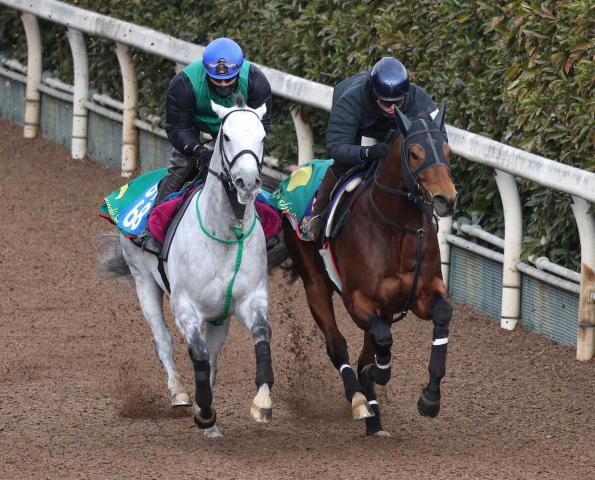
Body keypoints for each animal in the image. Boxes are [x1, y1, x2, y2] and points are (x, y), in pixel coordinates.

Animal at [282, 107, 456, 436]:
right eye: (414, 153)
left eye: (448, 150)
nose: (446, 199)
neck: (396, 228)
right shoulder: (358, 300)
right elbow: (381, 342)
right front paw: (378, 373)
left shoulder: (421, 293)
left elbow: (441, 316)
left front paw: (430, 398)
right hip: (315, 282)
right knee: (338, 345)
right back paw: (360, 400)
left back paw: (374, 420)